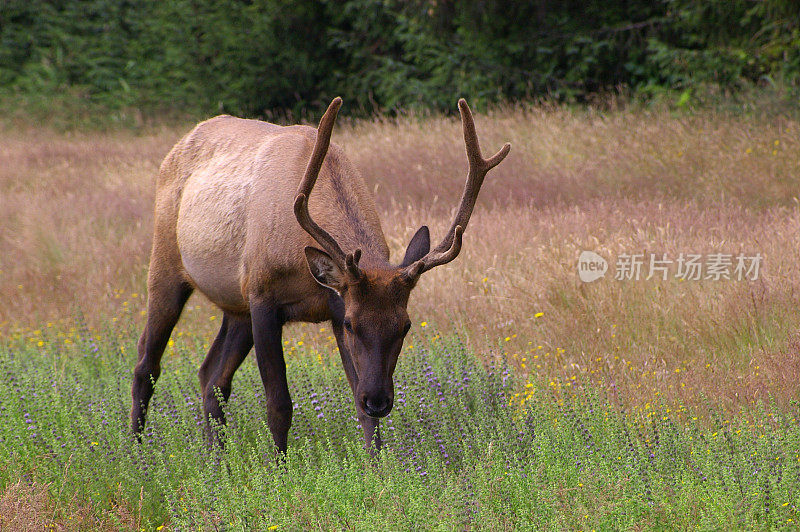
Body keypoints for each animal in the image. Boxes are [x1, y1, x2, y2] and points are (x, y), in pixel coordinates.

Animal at [129, 96, 510, 454]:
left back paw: (216, 460)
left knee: (212, 378)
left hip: (235, 306)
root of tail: (179, 144)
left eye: (405, 325)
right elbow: (279, 404)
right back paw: (137, 453)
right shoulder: (264, 297)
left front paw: (378, 467)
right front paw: (280, 469)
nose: (379, 400)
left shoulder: (332, 303)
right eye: (353, 325)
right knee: (146, 365)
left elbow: (359, 407)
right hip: (166, 264)